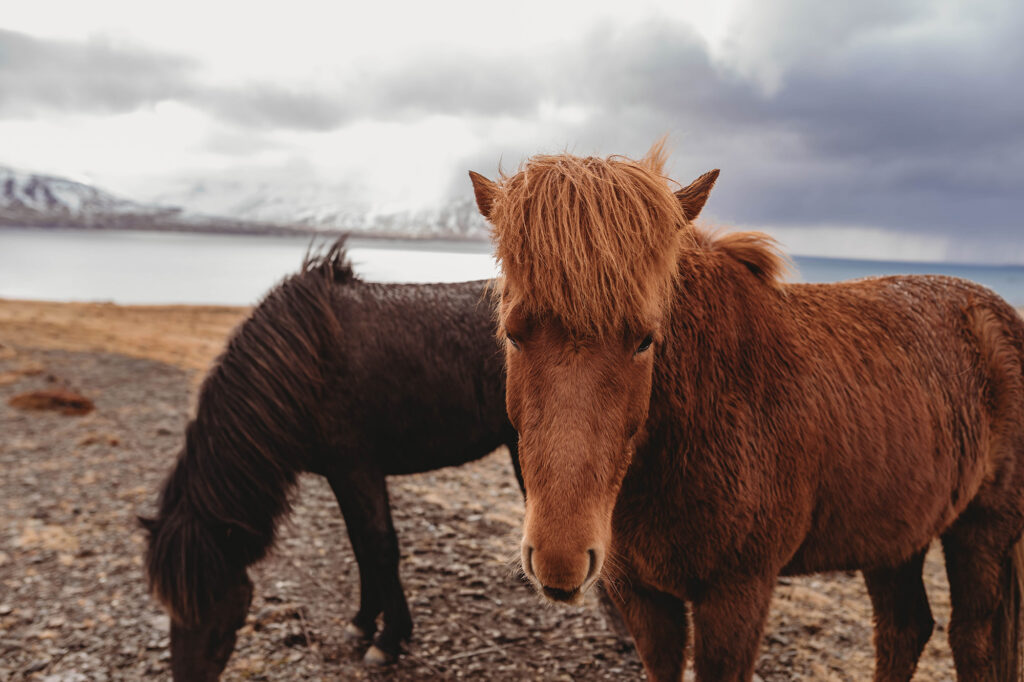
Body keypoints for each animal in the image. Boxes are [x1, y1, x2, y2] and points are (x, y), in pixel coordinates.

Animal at [140, 239, 521, 681]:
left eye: (210, 594)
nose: (186, 676)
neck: (308, 359)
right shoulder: (342, 474)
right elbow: (360, 546)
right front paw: (362, 623)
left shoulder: (359, 469)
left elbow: (380, 547)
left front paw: (388, 641)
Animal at [469, 144, 1024, 681]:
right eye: (513, 334)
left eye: (646, 340)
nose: (559, 559)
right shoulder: (644, 597)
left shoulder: (737, 596)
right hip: (894, 536)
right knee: (903, 630)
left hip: (984, 533)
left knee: (971, 641)